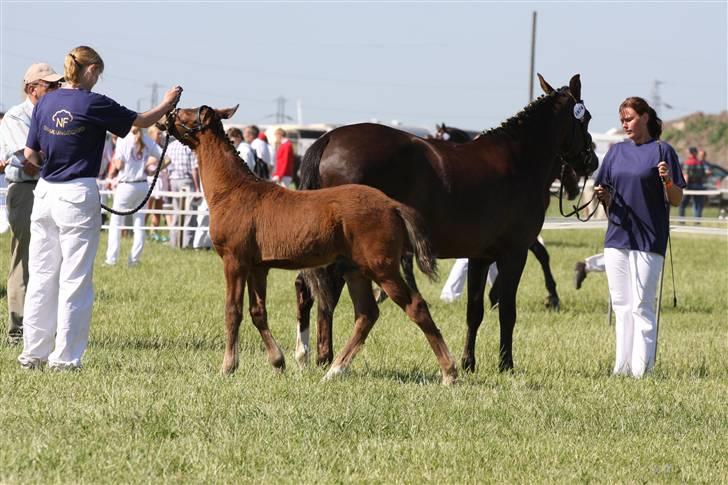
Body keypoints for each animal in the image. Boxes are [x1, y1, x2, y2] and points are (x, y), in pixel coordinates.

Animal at [161, 104, 456, 384]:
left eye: (185, 112)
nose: (166, 116)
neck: (234, 191)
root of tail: (393, 205)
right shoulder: (259, 267)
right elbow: (258, 311)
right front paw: (278, 362)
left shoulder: (235, 261)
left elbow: (233, 311)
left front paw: (228, 366)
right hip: (355, 270)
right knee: (367, 314)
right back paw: (334, 371)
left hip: (382, 268)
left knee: (415, 306)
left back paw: (449, 372)